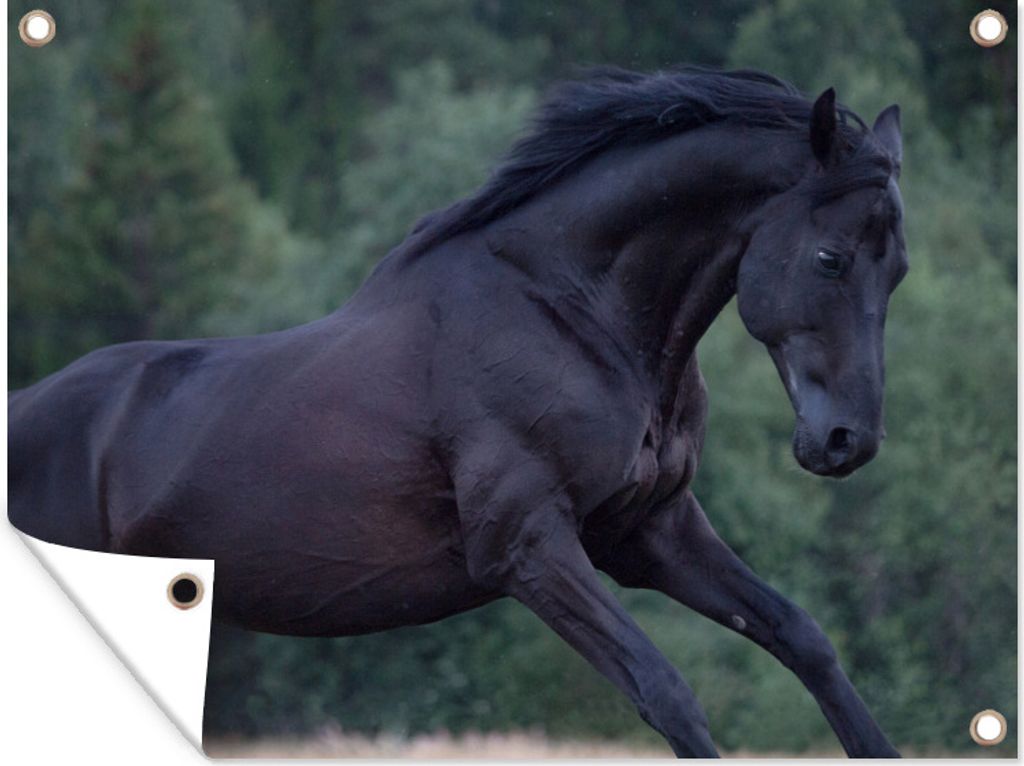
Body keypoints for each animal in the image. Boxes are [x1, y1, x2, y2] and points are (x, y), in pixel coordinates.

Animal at [9, 67, 907, 757]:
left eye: (896, 269)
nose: (846, 442)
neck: (572, 316)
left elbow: (804, 639)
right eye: (830, 258)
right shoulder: (528, 548)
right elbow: (667, 691)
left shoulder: (650, 531)